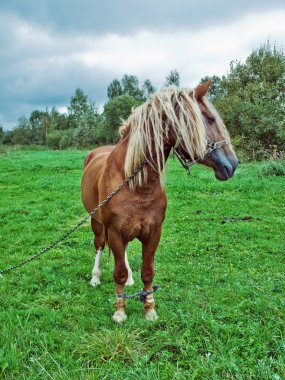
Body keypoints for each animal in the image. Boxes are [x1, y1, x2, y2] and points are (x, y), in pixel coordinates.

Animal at [80, 78, 237, 322]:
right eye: (210, 119)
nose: (233, 164)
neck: (135, 184)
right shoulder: (114, 231)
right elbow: (118, 273)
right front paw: (119, 311)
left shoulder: (153, 232)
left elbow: (147, 272)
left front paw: (150, 309)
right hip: (96, 222)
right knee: (99, 245)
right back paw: (95, 277)